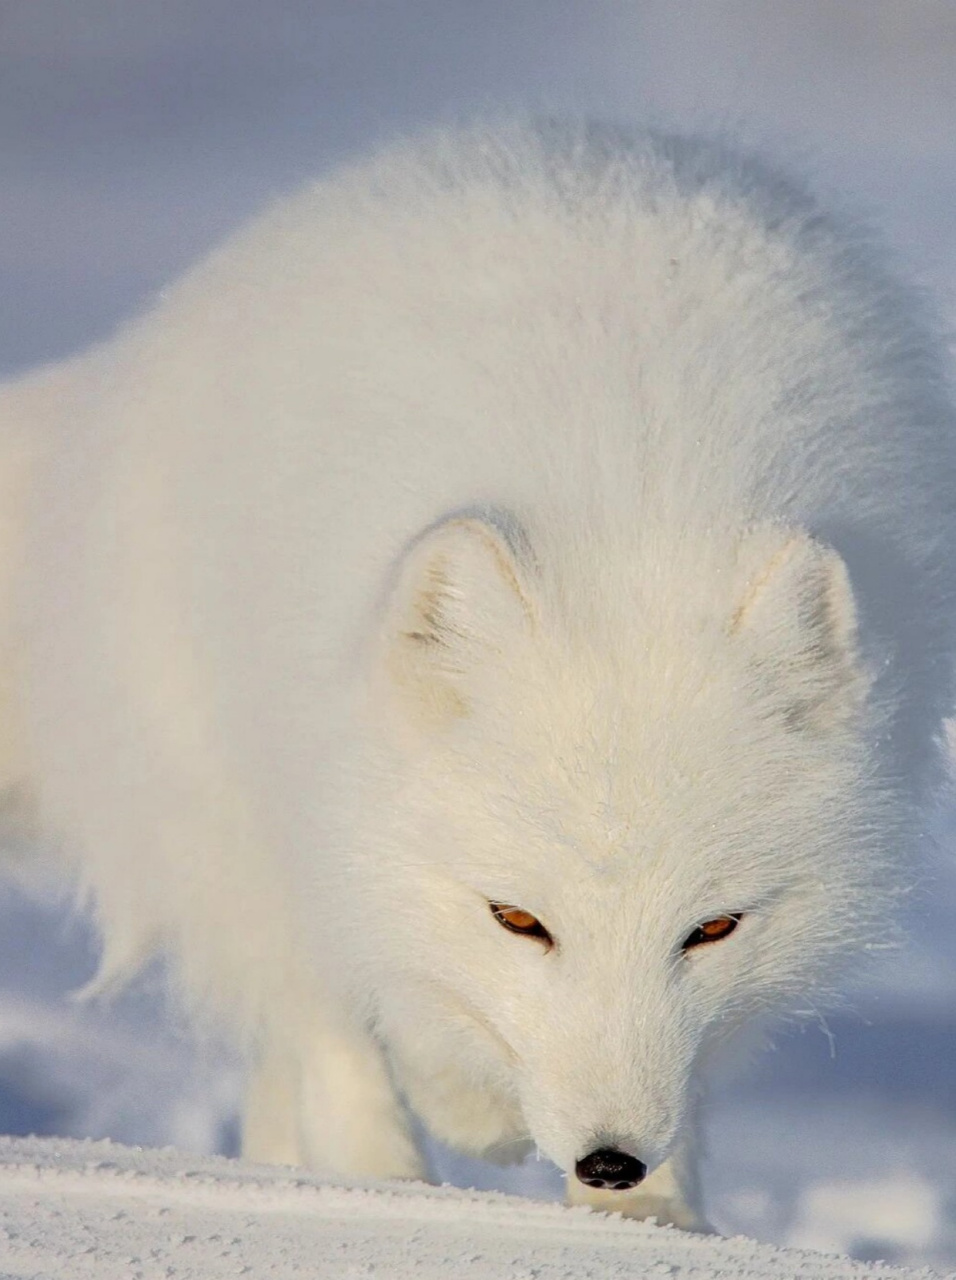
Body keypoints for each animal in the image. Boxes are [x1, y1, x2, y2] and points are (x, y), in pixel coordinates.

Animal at [1, 122, 956, 1228]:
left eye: (713, 928)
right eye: (517, 919)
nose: (609, 1160)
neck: (631, 497)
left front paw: (654, 1224)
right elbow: (381, 1010)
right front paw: (459, 1122)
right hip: (234, 813)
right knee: (321, 1023)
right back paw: (382, 1181)